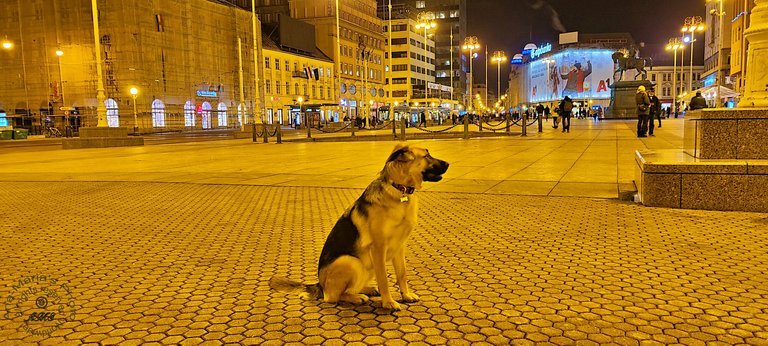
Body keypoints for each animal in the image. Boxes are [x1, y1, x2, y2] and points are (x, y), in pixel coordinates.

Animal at [272, 143, 448, 310]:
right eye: (427, 155)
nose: (448, 163)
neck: (399, 190)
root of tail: (320, 285)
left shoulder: (399, 247)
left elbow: (402, 274)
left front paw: (405, 295)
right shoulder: (378, 248)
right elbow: (383, 278)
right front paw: (388, 302)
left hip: (366, 267)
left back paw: (366, 289)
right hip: (352, 262)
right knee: (332, 297)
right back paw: (356, 297)